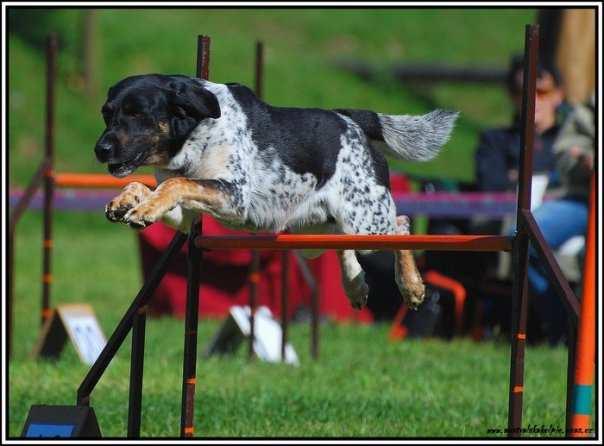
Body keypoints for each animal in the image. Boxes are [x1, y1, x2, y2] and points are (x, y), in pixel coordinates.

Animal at [95, 74, 458, 310]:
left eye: (138, 113)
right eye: (106, 113)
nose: (100, 150)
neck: (195, 131)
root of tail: (352, 120)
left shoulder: (233, 196)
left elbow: (176, 183)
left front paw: (142, 210)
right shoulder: (186, 216)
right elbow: (146, 185)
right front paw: (126, 203)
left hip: (367, 224)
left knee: (402, 223)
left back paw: (411, 288)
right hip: (312, 235)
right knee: (342, 245)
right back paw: (355, 287)